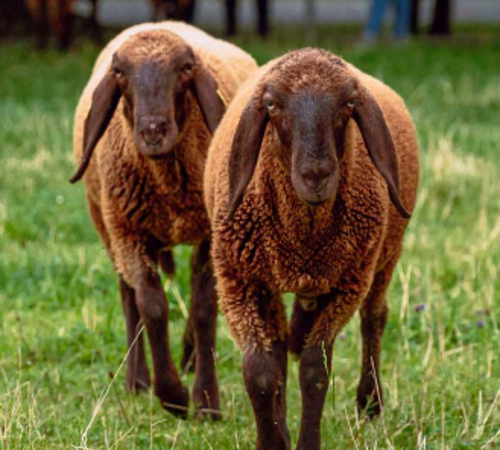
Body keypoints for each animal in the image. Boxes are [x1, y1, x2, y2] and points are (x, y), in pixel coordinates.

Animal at [72, 22, 258, 420]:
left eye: (186, 69)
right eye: (120, 73)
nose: (154, 131)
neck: (166, 179)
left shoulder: (210, 231)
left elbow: (204, 307)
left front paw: (206, 401)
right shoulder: (128, 232)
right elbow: (152, 306)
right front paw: (172, 394)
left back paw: (189, 356)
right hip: (108, 226)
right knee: (128, 297)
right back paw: (137, 380)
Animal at [205, 47, 420, 448]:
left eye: (349, 103)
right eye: (272, 105)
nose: (317, 175)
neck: (303, 237)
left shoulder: (348, 285)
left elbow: (314, 370)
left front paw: (306, 440)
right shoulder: (237, 280)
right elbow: (260, 371)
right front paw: (273, 440)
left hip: (383, 257)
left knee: (374, 318)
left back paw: (370, 402)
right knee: (280, 342)